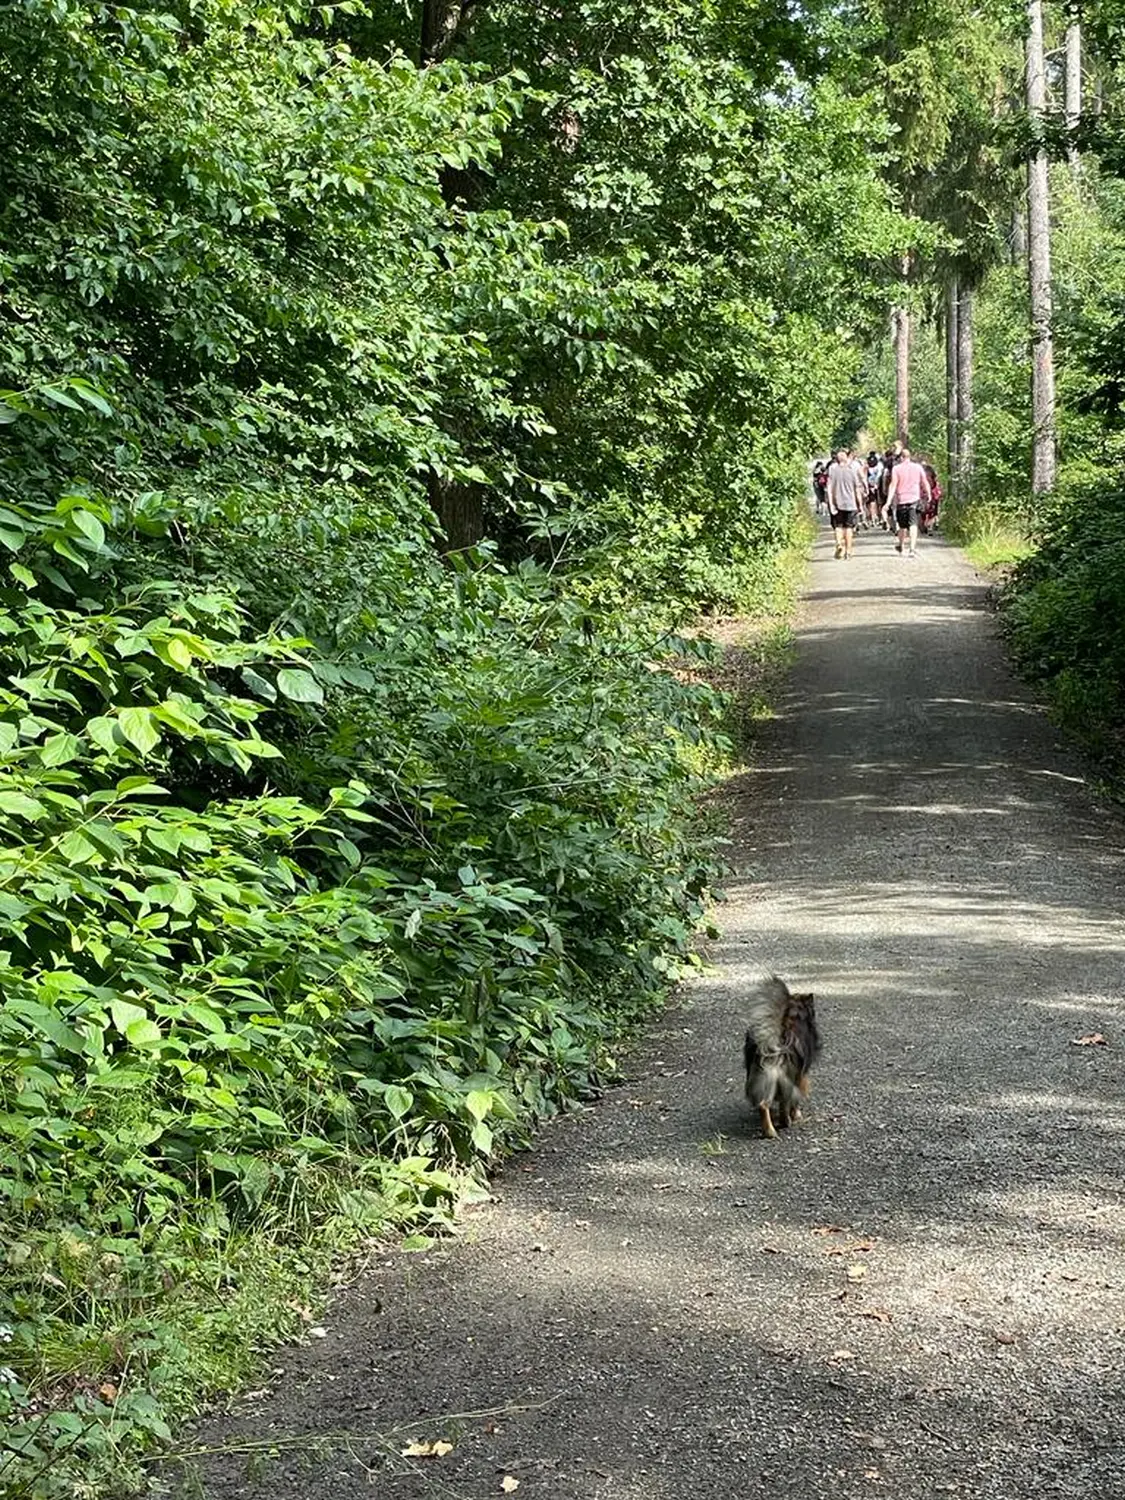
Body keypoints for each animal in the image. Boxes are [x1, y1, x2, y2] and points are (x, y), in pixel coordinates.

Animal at [744, 972, 822, 1134]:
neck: (793, 1013)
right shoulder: (801, 1075)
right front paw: (797, 1114)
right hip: (787, 1078)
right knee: (784, 1103)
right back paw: (785, 1122)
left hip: (765, 1076)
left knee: (763, 1105)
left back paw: (770, 1131)